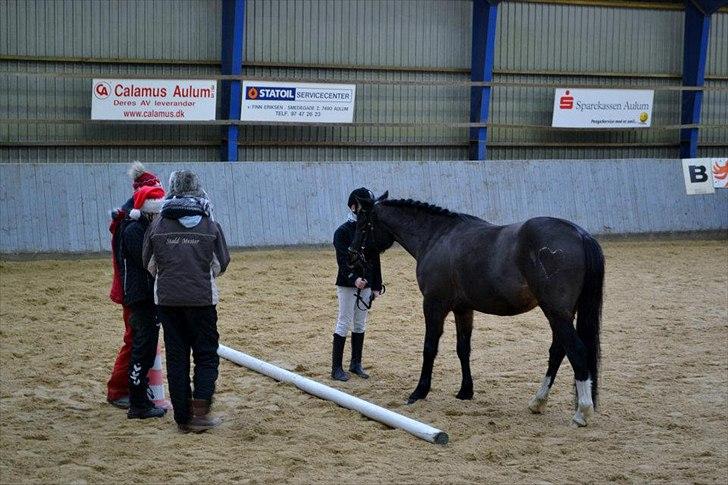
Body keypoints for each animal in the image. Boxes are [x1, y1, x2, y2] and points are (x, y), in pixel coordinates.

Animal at [346, 191, 604, 426]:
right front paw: (465, 391)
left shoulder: (434, 304)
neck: (437, 237)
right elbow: (463, 349)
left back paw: (582, 412)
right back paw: (538, 402)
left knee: (576, 351)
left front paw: (419, 392)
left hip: (556, 313)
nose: (352, 254)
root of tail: (580, 234)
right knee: (558, 352)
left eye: (362, 224)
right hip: (561, 314)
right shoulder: (463, 309)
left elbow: (430, 348)